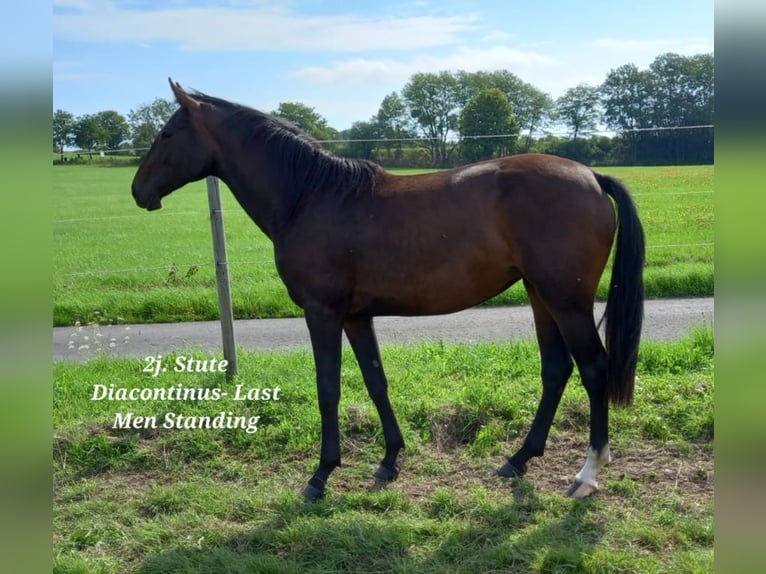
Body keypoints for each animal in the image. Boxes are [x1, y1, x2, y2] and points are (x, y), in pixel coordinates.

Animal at [132, 79, 645, 500]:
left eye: (168, 134)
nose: (139, 191)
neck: (309, 196)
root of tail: (591, 176)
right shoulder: (357, 316)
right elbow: (376, 381)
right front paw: (389, 461)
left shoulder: (322, 312)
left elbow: (328, 388)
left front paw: (321, 475)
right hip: (541, 296)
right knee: (556, 370)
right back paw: (518, 460)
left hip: (567, 301)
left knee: (594, 369)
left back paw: (587, 474)